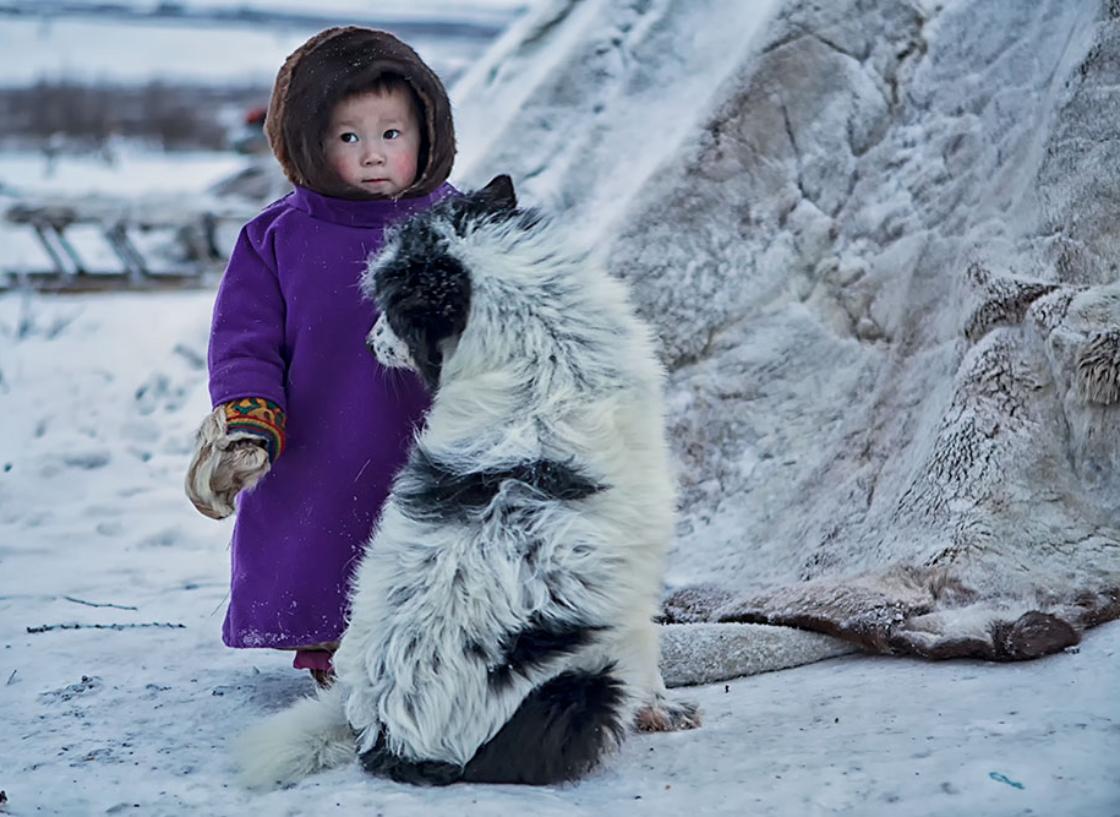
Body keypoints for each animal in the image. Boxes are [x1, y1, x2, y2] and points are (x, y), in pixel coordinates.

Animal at [239, 177, 694, 784]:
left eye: (390, 310)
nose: (368, 344)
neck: (542, 350)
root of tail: (384, 737)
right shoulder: (634, 579)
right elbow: (650, 650)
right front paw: (664, 708)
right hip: (582, 691)